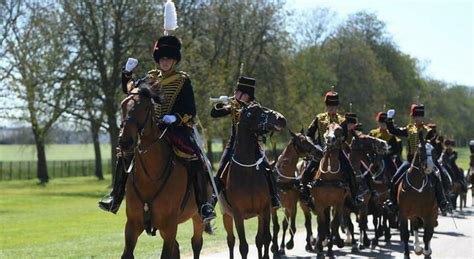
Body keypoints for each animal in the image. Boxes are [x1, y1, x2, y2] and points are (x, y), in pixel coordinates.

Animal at [118, 85, 206, 259]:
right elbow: (127, 254)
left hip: (197, 217)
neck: (150, 177)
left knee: (196, 243)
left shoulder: (169, 225)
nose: (125, 141)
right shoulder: (132, 225)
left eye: (145, 107)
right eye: (123, 105)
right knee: (177, 248)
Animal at [308, 123, 348, 258]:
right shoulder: (319, 203)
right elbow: (321, 224)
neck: (329, 177)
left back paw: (338, 241)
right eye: (327, 128)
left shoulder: (338, 203)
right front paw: (319, 249)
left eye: (340, 130)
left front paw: (330, 250)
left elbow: (334, 224)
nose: (330, 139)